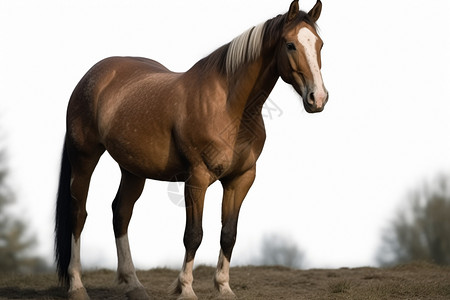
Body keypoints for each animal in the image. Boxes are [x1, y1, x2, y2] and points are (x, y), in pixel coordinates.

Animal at [55, 1, 326, 298]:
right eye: (290, 45)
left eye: (320, 44)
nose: (318, 98)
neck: (229, 106)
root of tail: (93, 75)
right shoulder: (197, 178)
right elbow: (193, 234)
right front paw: (185, 288)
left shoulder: (240, 179)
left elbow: (228, 234)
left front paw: (223, 287)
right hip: (84, 158)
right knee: (78, 214)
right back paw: (77, 286)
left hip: (133, 170)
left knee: (121, 213)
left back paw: (134, 284)